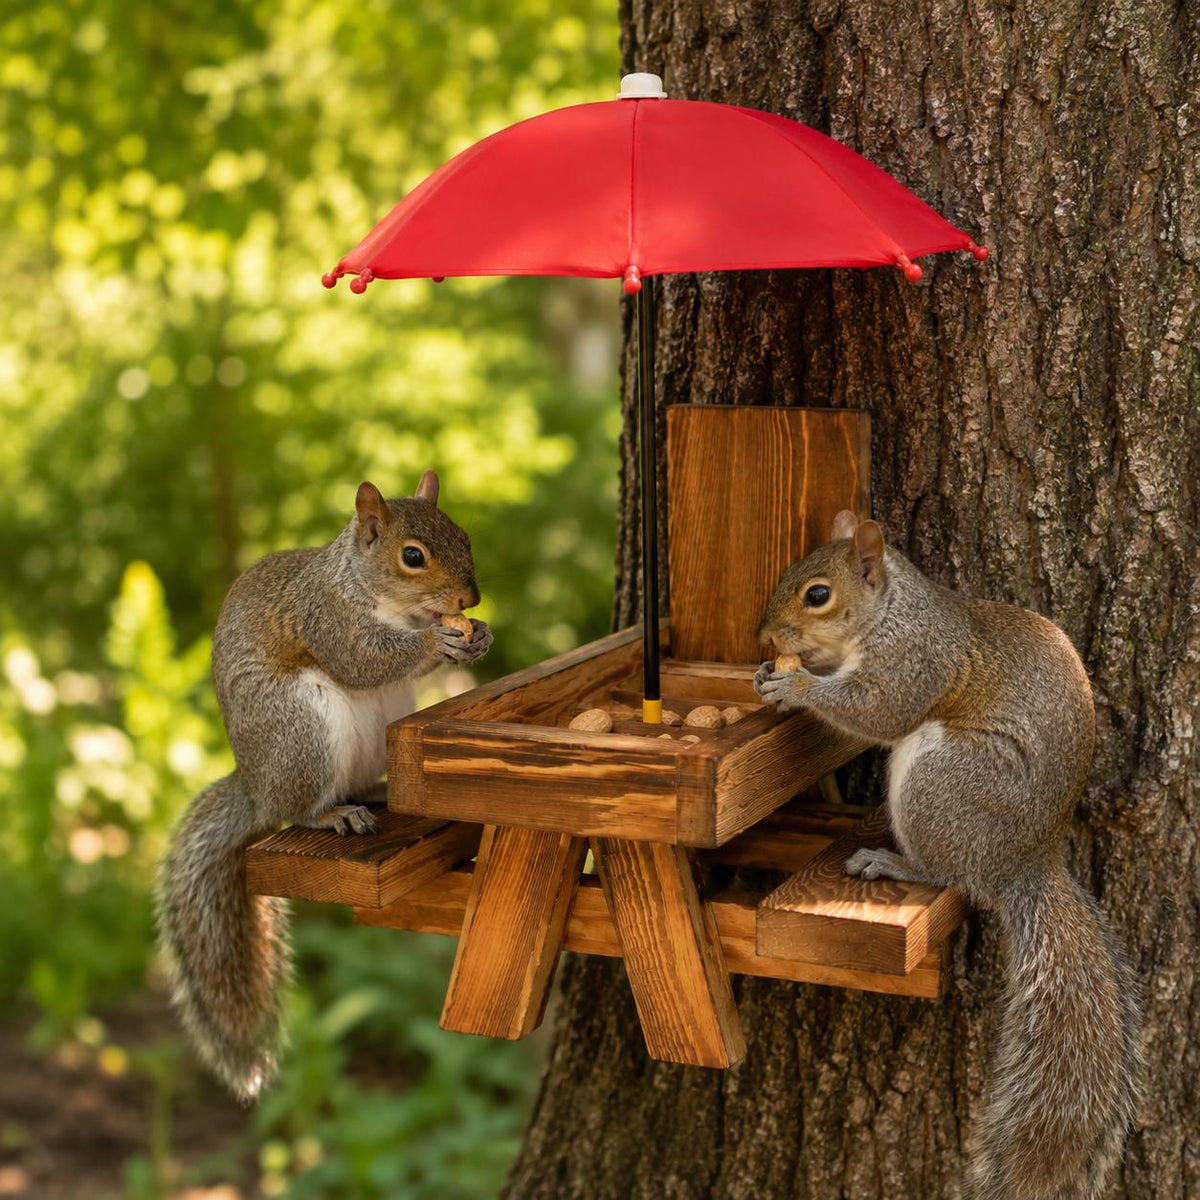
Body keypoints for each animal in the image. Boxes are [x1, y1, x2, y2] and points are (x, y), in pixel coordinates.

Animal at [157, 471, 491, 1101]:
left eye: (464, 534)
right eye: (413, 556)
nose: (470, 602)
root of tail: (257, 788)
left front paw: (476, 638)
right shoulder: (328, 619)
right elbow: (362, 659)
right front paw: (437, 644)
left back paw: (375, 792)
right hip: (302, 730)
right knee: (302, 805)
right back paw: (331, 814)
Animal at [755, 510, 1142, 1200]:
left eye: (817, 594)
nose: (765, 636)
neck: (891, 613)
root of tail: (1024, 864)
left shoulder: (916, 663)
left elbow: (877, 711)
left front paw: (796, 684)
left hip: (941, 780)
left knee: (951, 873)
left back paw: (895, 863)